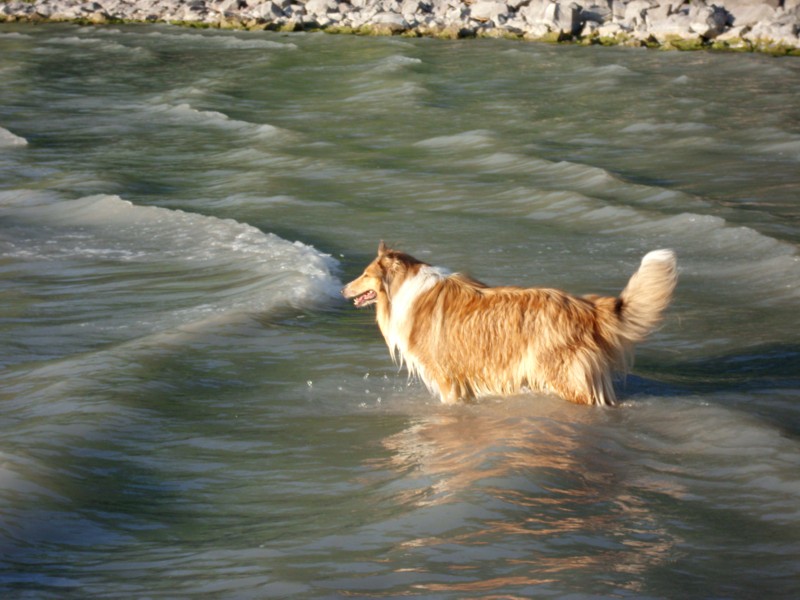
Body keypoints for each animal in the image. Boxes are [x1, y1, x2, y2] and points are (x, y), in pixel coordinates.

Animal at [342, 242, 677, 406]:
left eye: (364, 274)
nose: (343, 289)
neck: (403, 287)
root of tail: (587, 307)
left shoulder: (446, 377)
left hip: (563, 375)